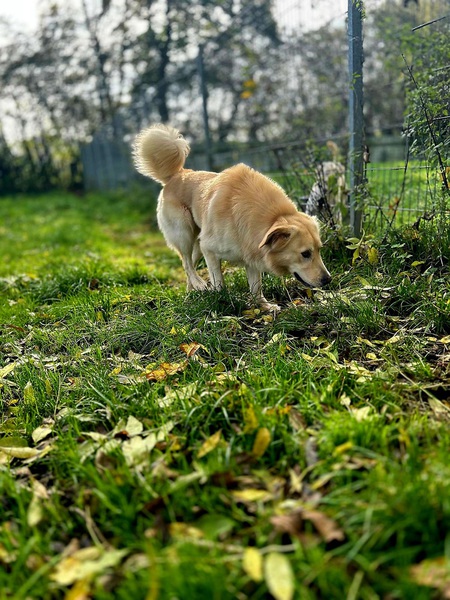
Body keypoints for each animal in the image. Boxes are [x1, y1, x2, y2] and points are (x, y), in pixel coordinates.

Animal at [132, 124, 331, 311]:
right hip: (184, 233)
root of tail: (177, 174)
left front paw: (263, 306)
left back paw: (191, 293)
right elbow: (218, 281)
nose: (328, 280)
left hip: (198, 242)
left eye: (319, 250)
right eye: (305, 254)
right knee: (187, 264)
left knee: (188, 265)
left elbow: (256, 285)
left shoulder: (250, 251)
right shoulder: (210, 250)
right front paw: (222, 300)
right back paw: (200, 285)